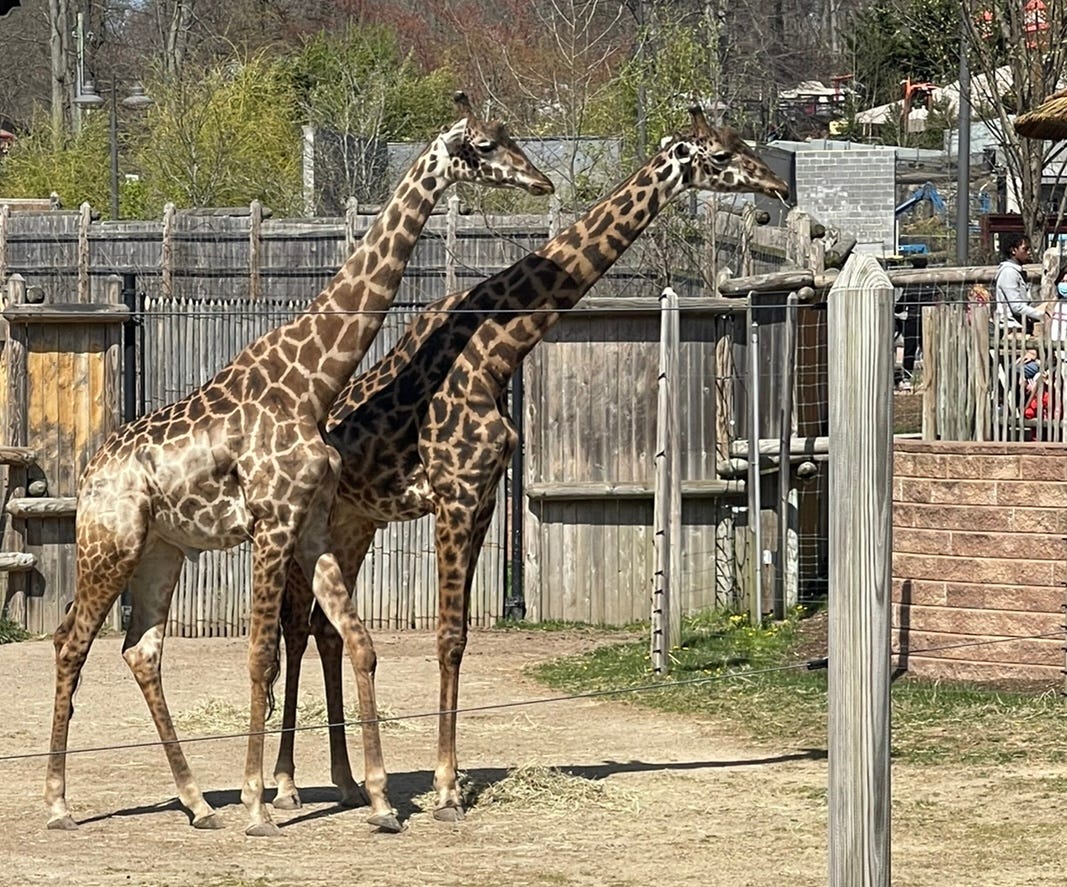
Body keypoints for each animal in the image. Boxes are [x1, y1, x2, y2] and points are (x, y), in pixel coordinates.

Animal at [43, 93, 550, 836]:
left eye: (511, 136)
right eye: (485, 145)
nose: (541, 181)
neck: (309, 384)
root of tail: (88, 475)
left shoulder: (310, 526)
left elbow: (356, 639)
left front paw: (377, 800)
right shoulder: (272, 521)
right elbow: (261, 655)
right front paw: (259, 803)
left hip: (163, 551)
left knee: (141, 649)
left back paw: (197, 803)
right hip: (110, 545)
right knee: (69, 641)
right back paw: (59, 803)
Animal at [271, 107, 789, 824]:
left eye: (739, 141)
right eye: (717, 154)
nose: (778, 189)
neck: (496, 352)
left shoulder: (486, 499)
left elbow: (460, 637)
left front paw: (446, 781)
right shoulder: (454, 494)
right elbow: (445, 635)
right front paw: (445, 790)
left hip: (357, 523)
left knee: (324, 629)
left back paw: (348, 782)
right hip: (313, 525)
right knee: (295, 627)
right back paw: (288, 785)